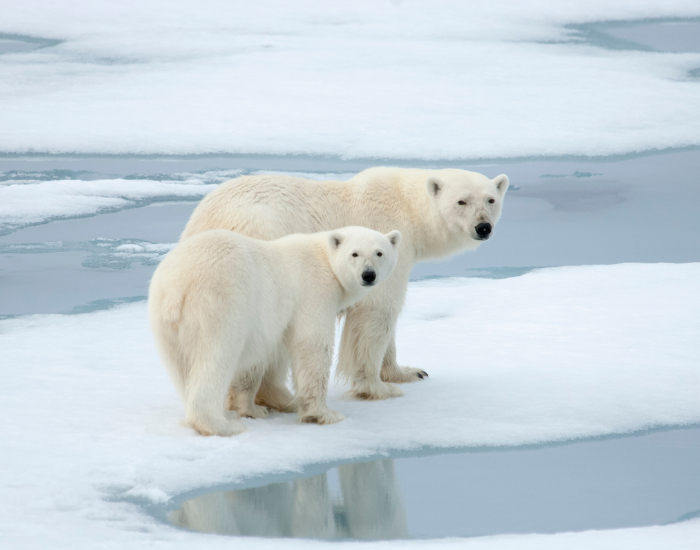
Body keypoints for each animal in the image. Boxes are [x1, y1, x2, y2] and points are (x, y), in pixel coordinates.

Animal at [149, 226, 401, 436]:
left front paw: (255, 408)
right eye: (354, 254)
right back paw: (222, 425)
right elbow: (312, 345)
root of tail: (177, 286)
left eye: (379, 253)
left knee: (181, 368)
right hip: (219, 303)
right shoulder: (314, 291)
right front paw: (323, 414)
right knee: (216, 358)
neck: (324, 258)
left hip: (164, 319)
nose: (368, 275)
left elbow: (264, 357)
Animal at [180, 167, 509, 401]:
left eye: (491, 199)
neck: (408, 208)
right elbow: (377, 311)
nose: (483, 227)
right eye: (461, 201)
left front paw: (408, 372)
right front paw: (376, 387)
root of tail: (203, 221)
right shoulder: (381, 238)